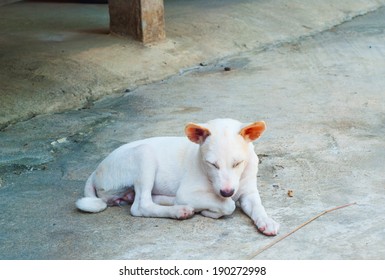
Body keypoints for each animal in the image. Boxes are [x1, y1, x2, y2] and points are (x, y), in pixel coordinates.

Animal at [75, 118, 280, 236]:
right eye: (212, 164)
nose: (227, 191)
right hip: (144, 154)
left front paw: (267, 221)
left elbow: (257, 207)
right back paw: (179, 210)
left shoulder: (248, 192)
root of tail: (96, 171)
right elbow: (228, 206)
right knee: (141, 206)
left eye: (237, 163)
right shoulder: (188, 193)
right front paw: (211, 211)